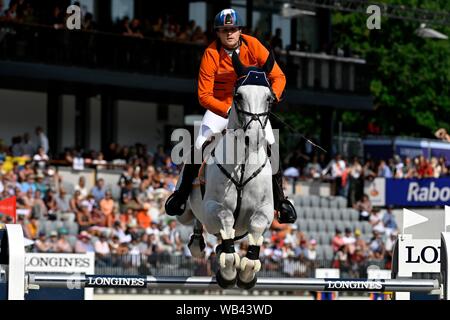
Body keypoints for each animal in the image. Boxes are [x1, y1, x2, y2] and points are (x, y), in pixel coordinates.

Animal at [177, 51, 276, 288]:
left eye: (269, 98)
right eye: (238, 95)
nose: (254, 138)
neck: (243, 163)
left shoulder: (266, 210)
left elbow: (257, 225)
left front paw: (247, 273)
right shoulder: (213, 206)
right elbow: (226, 218)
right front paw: (229, 273)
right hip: (184, 212)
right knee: (195, 220)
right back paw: (198, 243)